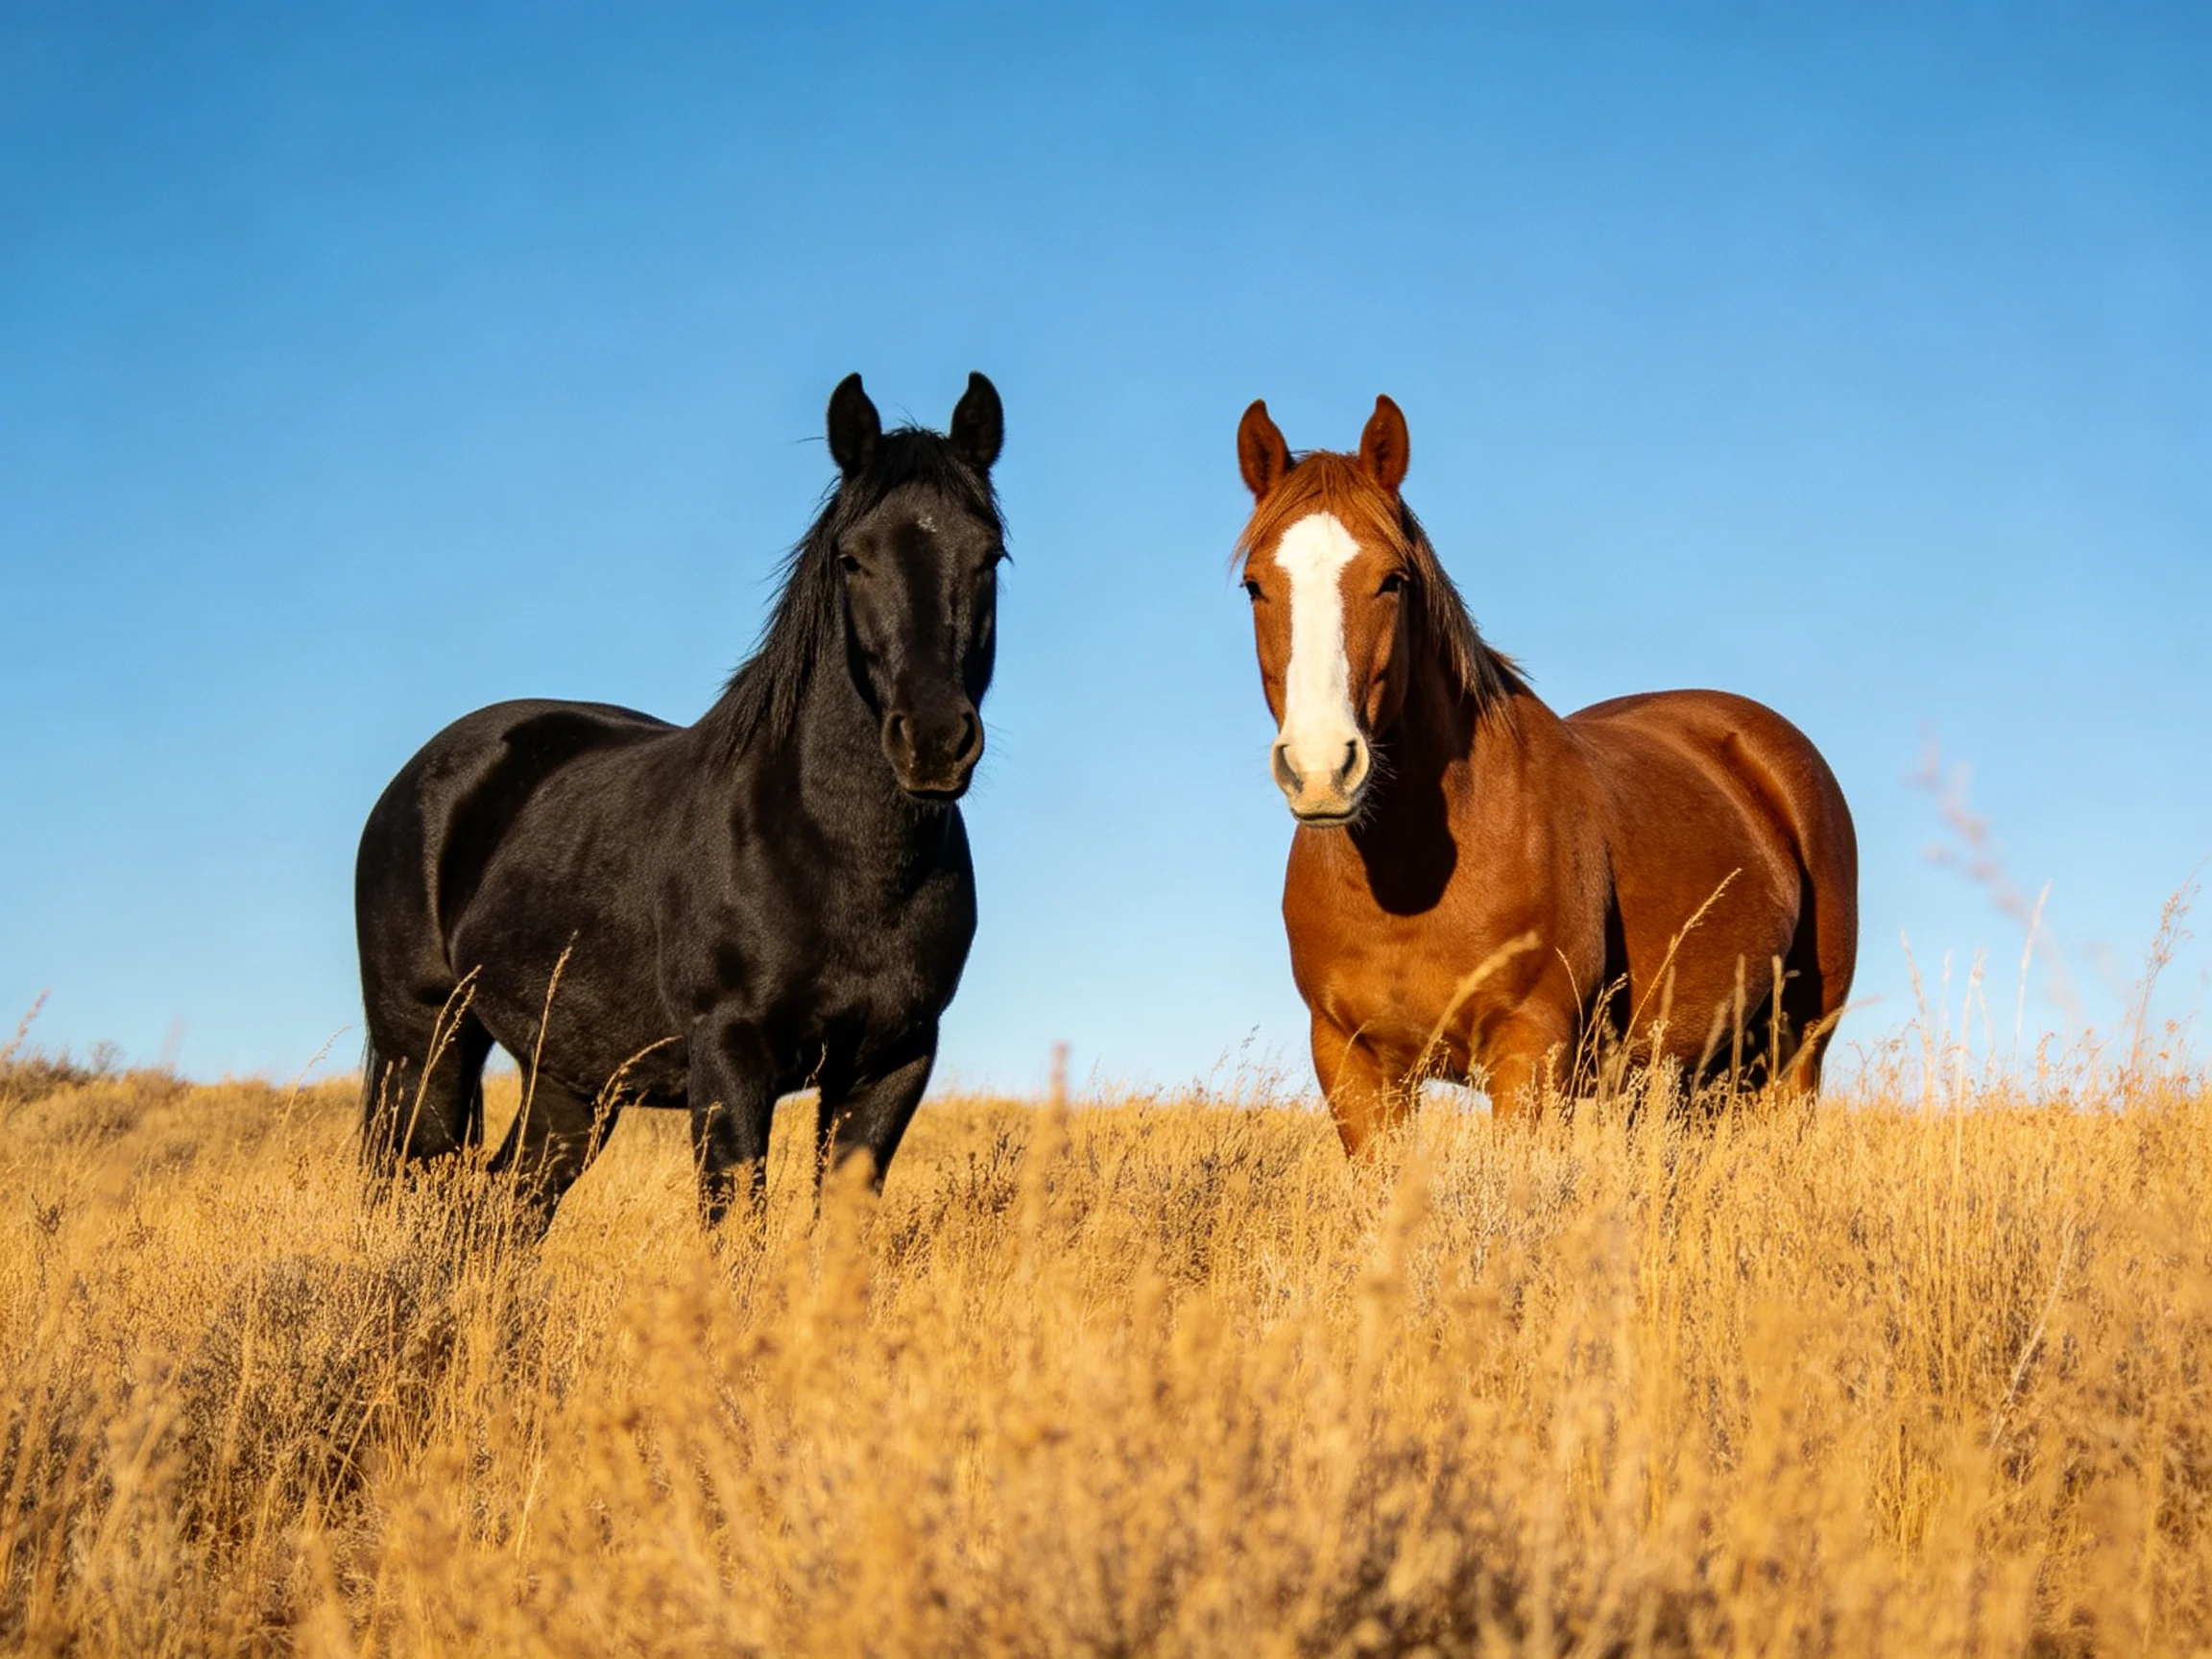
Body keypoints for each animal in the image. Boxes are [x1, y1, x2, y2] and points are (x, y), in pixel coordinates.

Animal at [357, 371, 1007, 1228]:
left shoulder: (892, 1062)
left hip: (568, 1083)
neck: (833, 850)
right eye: (851, 559)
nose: (932, 739)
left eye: (988, 556)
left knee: (504, 1209)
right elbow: (737, 1224)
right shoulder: (729, 1059)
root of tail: (421, 778)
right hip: (424, 1047)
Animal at [1233, 394, 1858, 1153]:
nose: (1322, 768)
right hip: (1681, 1072)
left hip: (1797, 1046)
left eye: (1392, 581)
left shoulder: (1530, 1051)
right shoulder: (1352, 1064)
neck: (1410, 879)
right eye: (1255, 586)